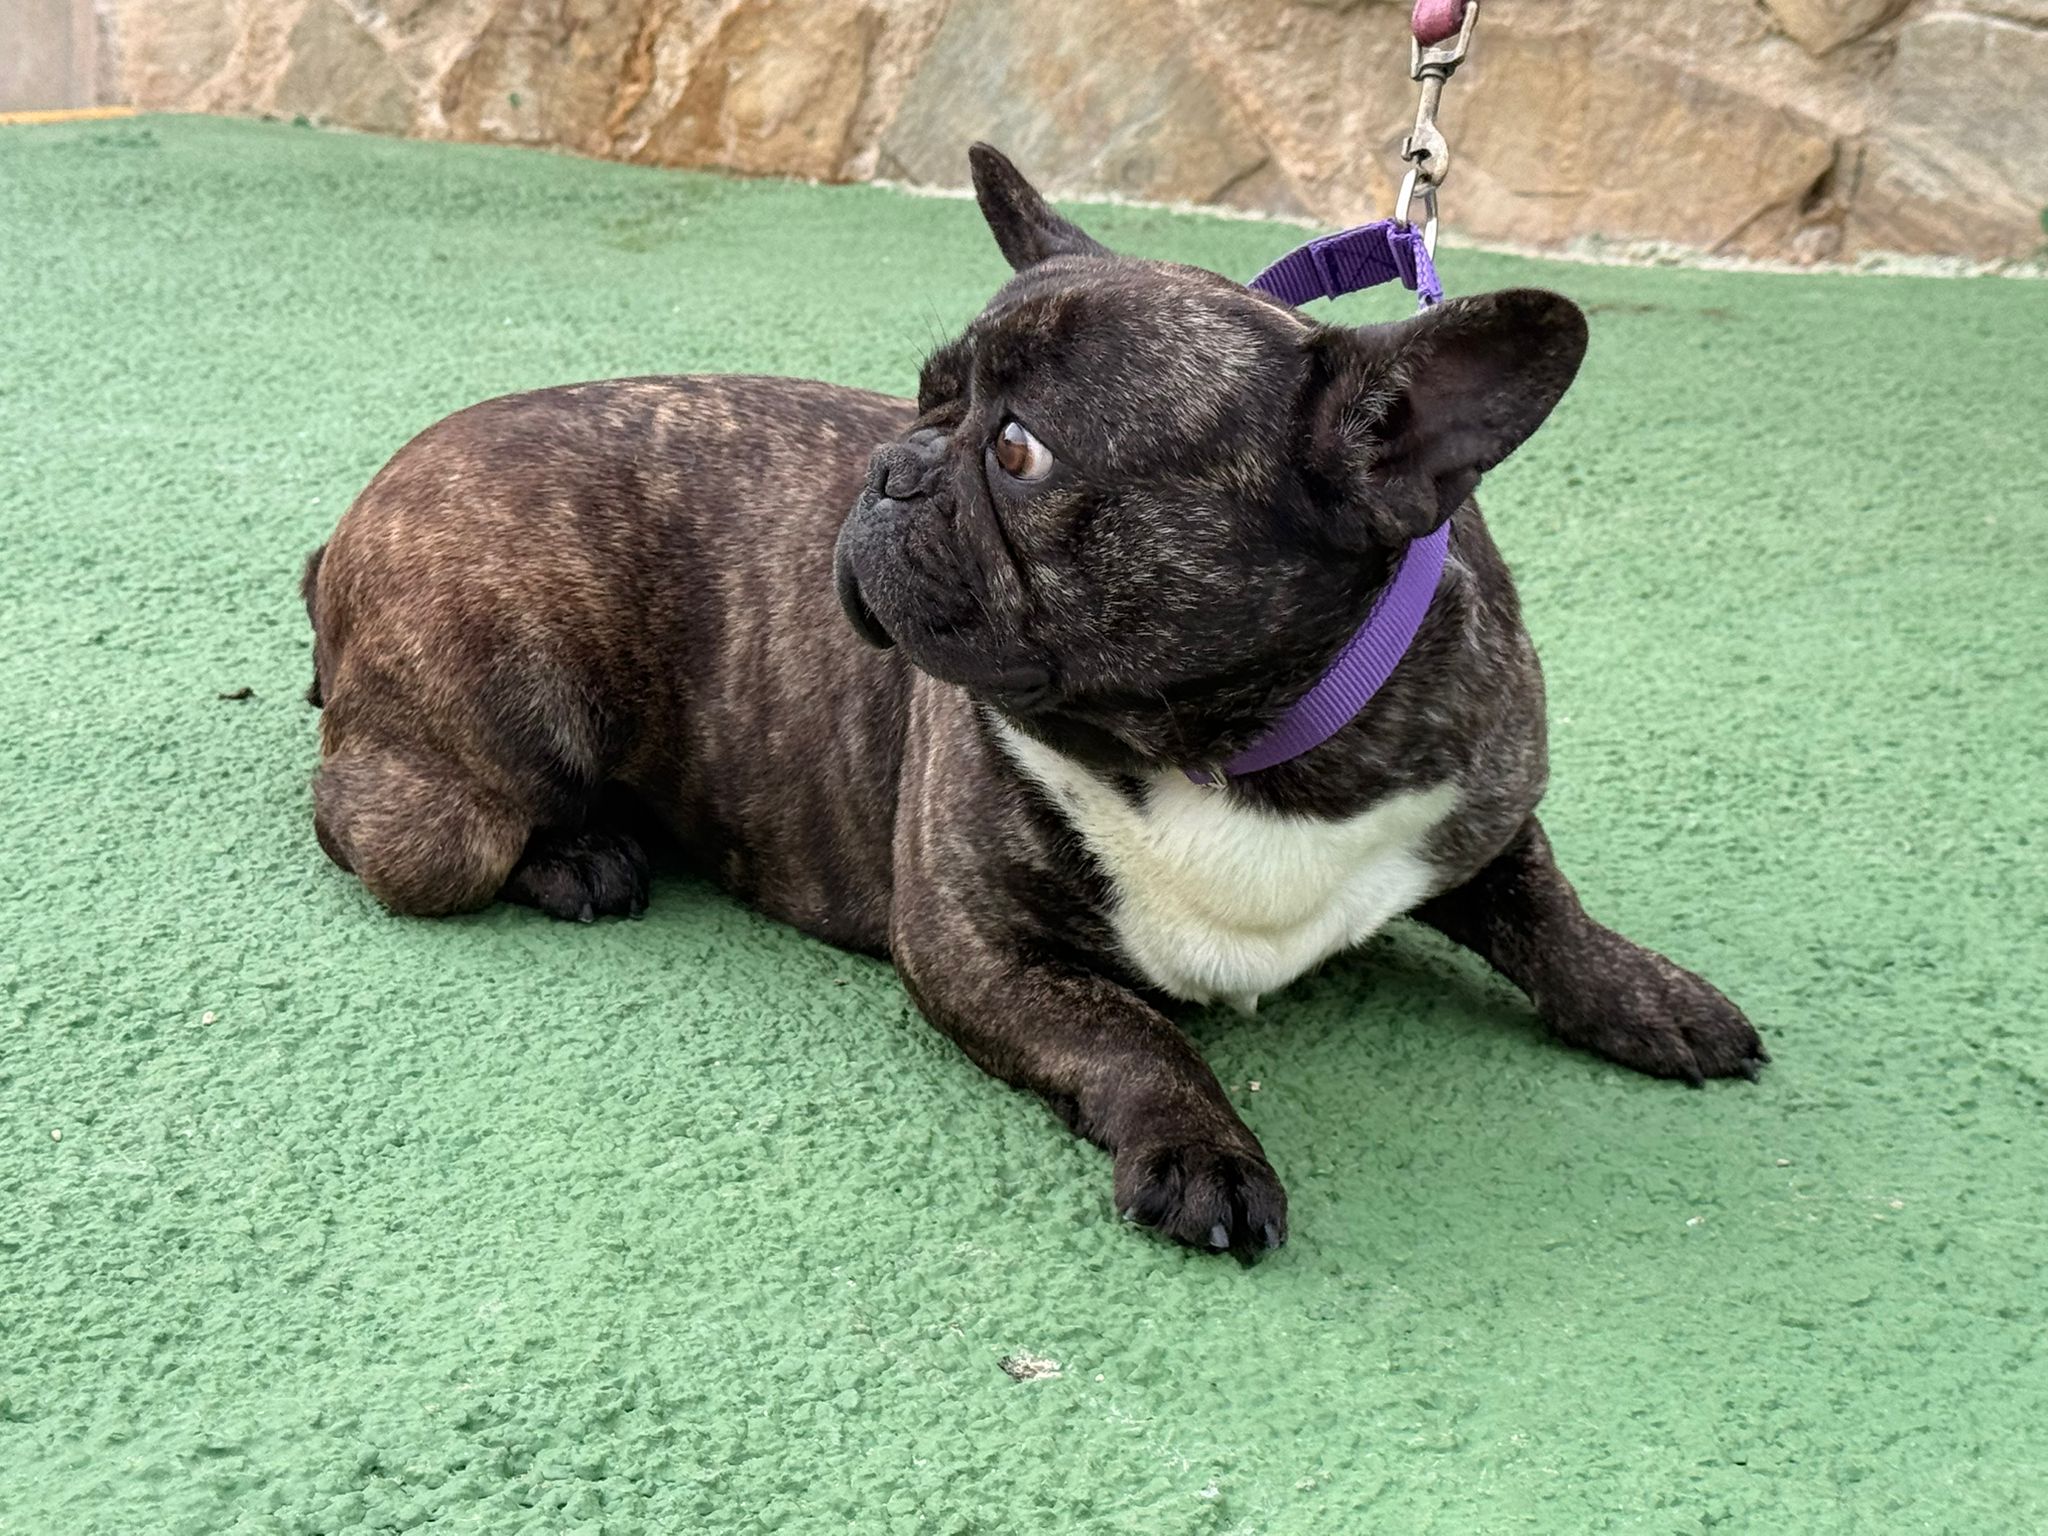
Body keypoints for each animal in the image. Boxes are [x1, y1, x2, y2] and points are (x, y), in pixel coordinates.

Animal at [302, 145, 1764, 1259]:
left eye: (1015, 449)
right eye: (926, 395)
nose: (893, 463)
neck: (1226, 749)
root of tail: (355, 516)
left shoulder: (1479, 796)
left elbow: (1544, 906)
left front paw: (1651, 996)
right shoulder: (977, 945)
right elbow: (1132, 1036)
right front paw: (1203, 1149)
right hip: (465, 763)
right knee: (372, 812)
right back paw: (576, 855)